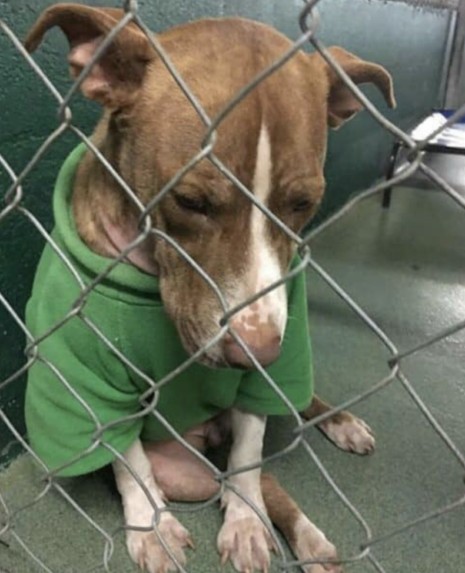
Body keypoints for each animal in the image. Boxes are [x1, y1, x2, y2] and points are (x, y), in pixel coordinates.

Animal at [24, 2, 396, 568]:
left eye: (303, 204)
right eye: (190, 202)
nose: (257, 353)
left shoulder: (272, 365)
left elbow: (248, 455)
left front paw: (244, 524)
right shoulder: (87, 381)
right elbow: (130, 462)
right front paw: (151, 528)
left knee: (269, 464)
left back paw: (320, 486)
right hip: (187, 468)